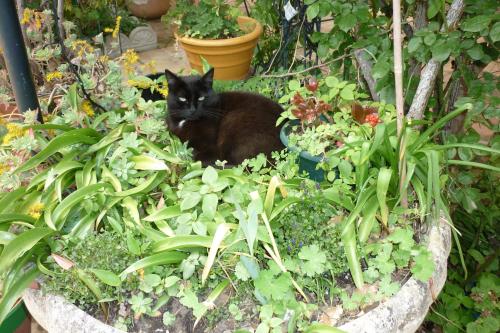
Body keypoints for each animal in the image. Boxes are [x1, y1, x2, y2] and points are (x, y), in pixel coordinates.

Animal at [146, 68, 286, 165]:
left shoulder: (210, 148)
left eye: (201, 98)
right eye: (182, 99)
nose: (192, 110)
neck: (184, 122)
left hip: (233, 119)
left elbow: (200, 158)